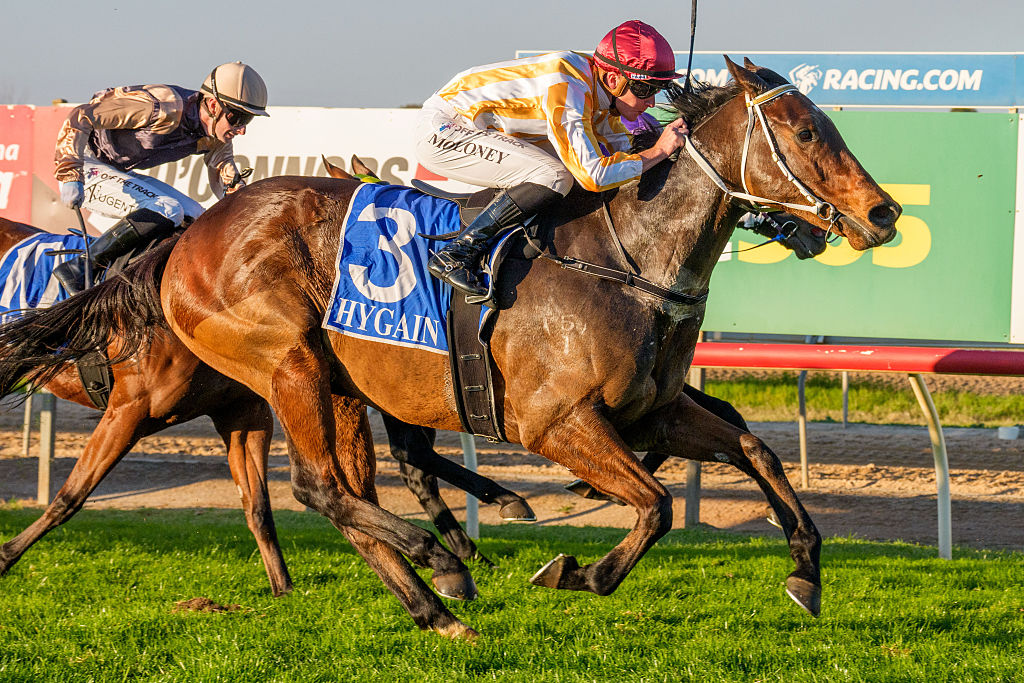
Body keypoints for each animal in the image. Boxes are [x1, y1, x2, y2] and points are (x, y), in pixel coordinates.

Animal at [2, 58, 899, 638]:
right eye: (802, 130)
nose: (884, 212)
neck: (629, 257)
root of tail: (186, 237)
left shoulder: (654, 411)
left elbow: (754, 450)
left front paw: (805, 573)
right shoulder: (556, 421)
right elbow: (656, 504)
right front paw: (578, 570)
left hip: (318, 382)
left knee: (334, 492)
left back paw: (434, 601)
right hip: (286, 362)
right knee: (317, 488)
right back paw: (437, 558)